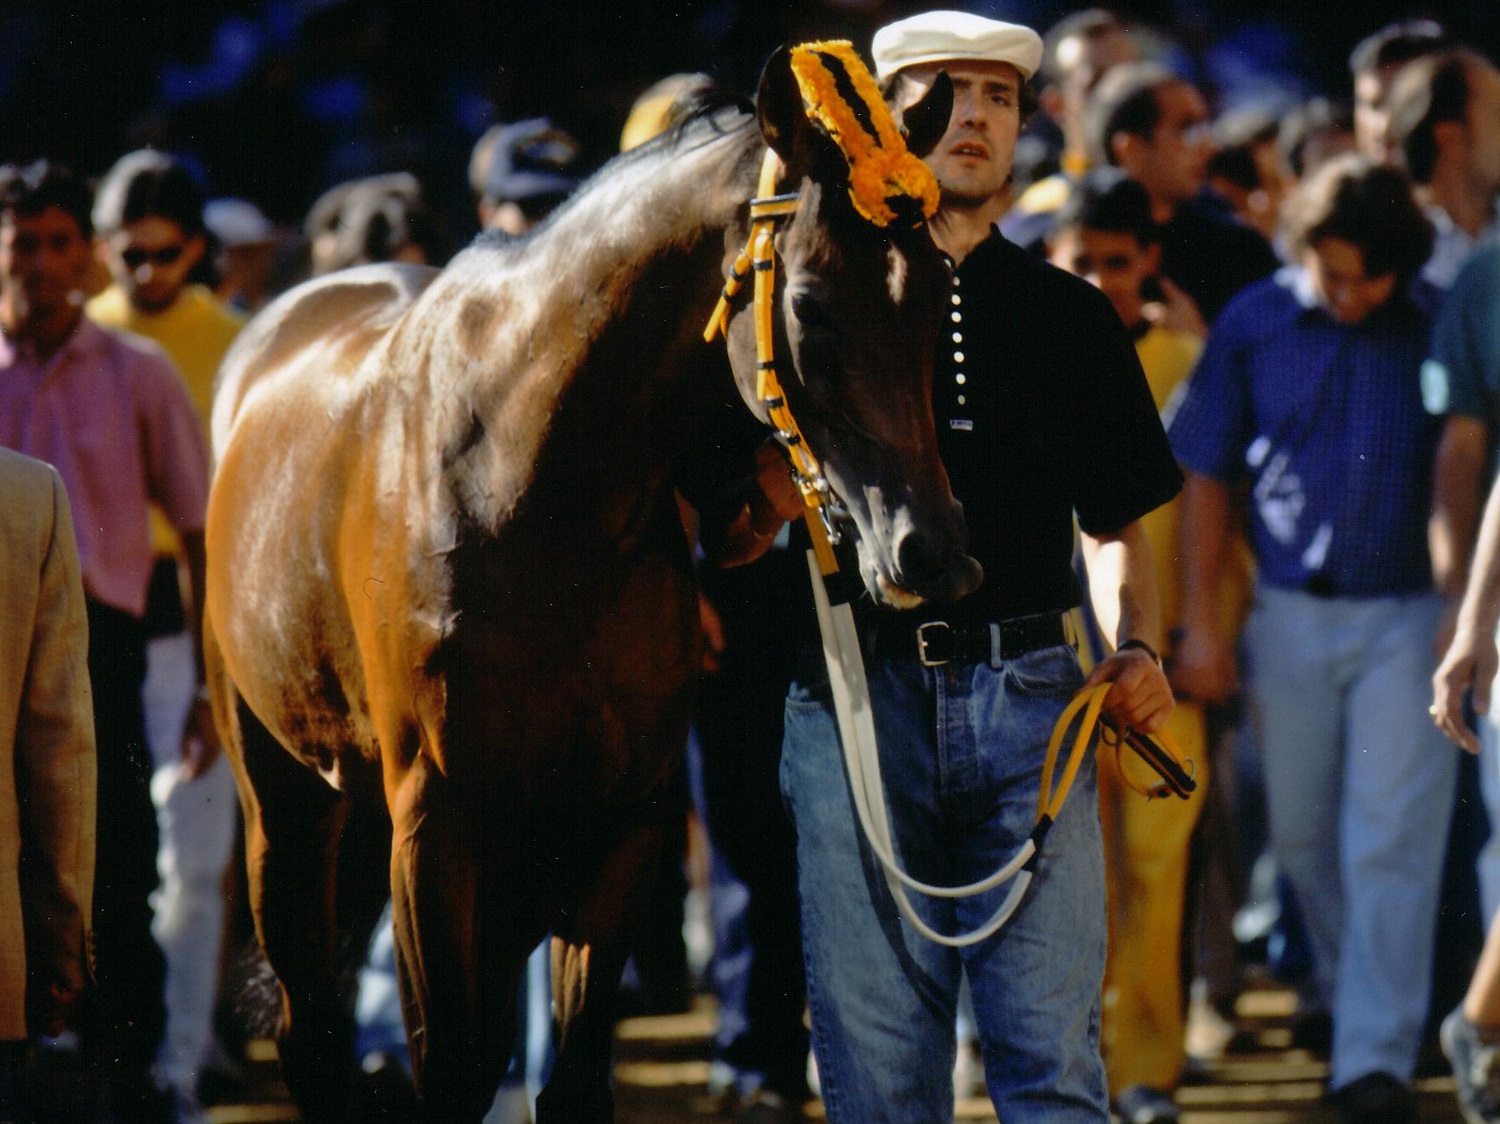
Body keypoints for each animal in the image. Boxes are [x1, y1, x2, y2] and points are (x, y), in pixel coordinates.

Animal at [205, 45, 978, 1122]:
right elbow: (453, 1066)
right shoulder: (437, 826)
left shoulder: (620, 823)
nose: (932, 552)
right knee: (309, 1022)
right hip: (282, 794)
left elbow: (567, 1073)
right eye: (811, 305)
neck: (529, 489)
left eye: (939, 287)